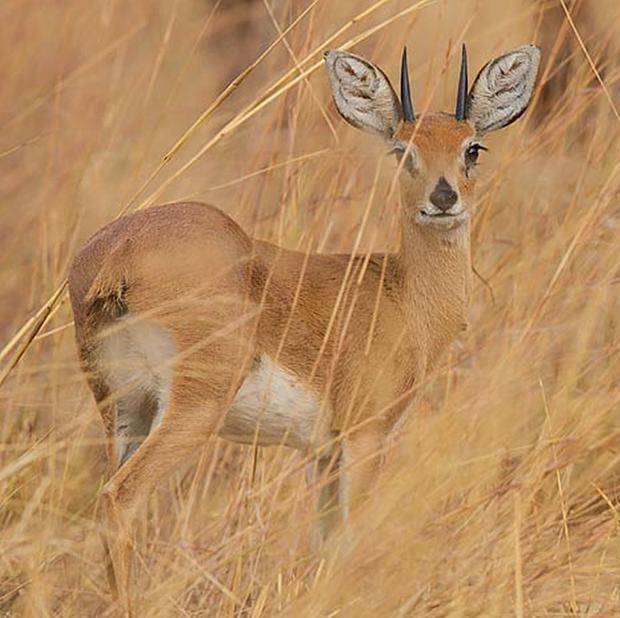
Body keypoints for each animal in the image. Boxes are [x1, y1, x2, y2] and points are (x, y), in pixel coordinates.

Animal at [70, 45, 540, 604]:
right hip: (194, 406)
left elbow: (326, 544)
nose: (444, 197)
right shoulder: (365, 435)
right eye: (402, 150)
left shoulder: (325, 452)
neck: (401, 294)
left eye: (472, 148)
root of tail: (116, 253)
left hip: (124, 411)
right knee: (119, 499)